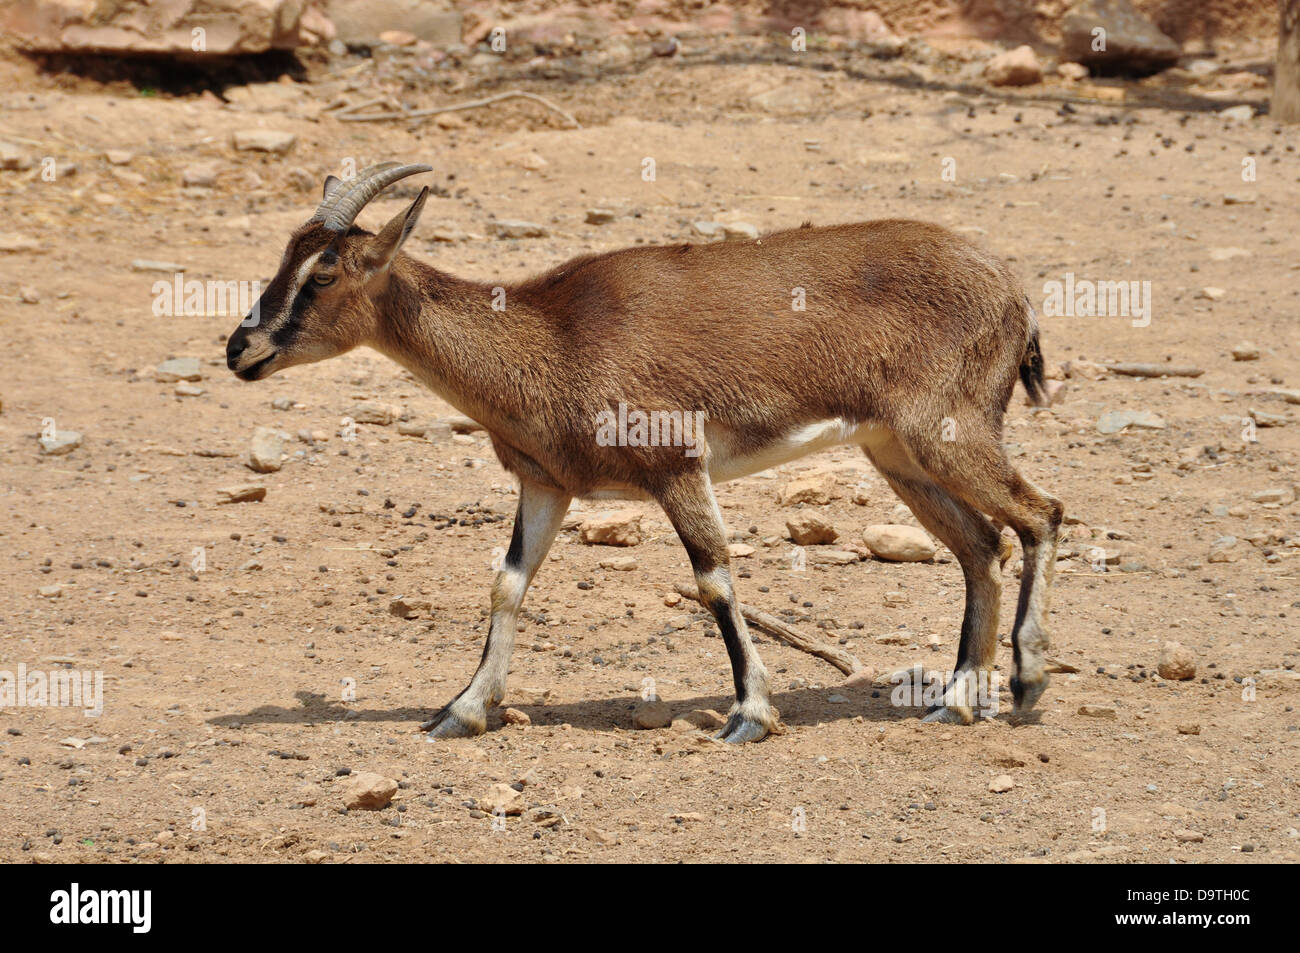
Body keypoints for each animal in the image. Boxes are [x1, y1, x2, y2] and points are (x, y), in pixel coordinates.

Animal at [228, 163, 1066, 743]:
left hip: (946, 433)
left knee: (1041, 513)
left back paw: (1026, 680)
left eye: (324, 271)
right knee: (981, 544)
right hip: (897, 453)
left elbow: (714, 579)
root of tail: (1011, 289)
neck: (551, 335)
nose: (241, 349)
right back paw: (957, 701)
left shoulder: (676, 467)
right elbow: (508, 584)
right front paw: (460, 711)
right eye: (287, 254)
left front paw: (749, 715)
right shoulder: (546, 485)